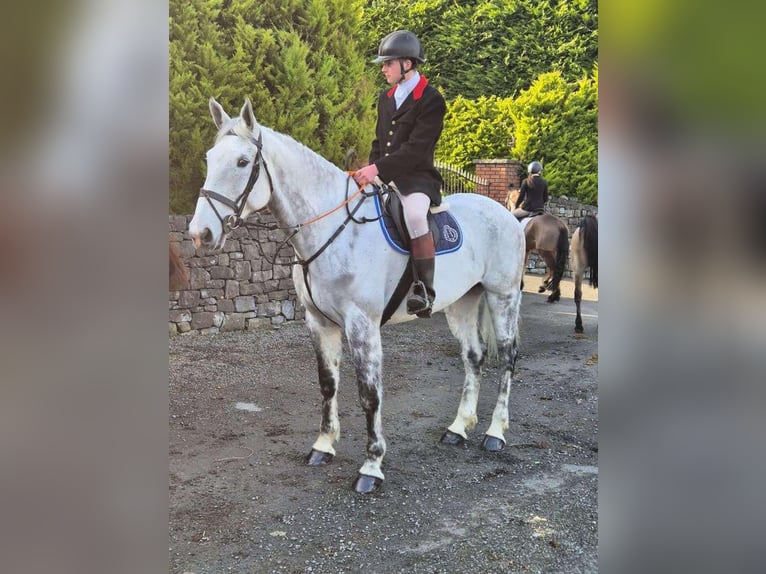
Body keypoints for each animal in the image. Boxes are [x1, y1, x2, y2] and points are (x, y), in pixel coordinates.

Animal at [190, 99, 528, 496]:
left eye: (243, 162)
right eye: (210, 158)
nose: (200, 233)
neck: (333, 230)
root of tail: (503, 213)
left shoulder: (362, 324)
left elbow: (369, 392)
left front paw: (372, 465)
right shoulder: (319, 322)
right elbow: (328, 383)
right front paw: (323, 446)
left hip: (502, 296)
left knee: (506, 357)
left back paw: (495, 432)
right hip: (462, 302)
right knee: (474, 357)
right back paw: (458, 428)